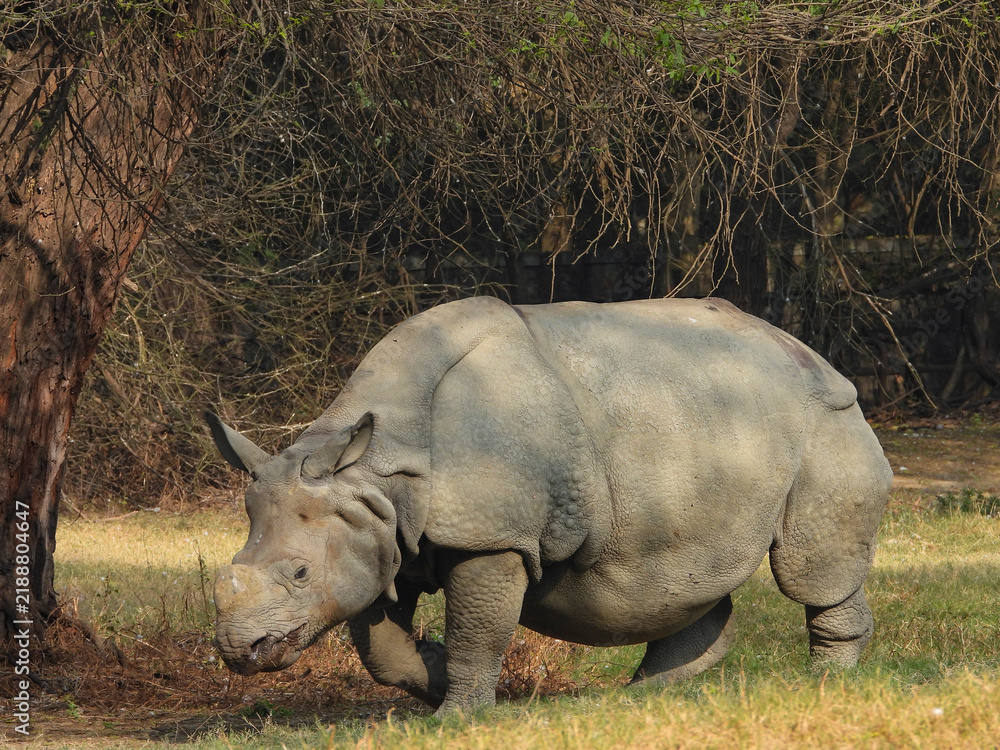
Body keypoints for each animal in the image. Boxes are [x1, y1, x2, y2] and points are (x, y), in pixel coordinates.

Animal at [208, 296, 892, 715]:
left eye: (299, 573)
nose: (240, 653)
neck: (375, 469)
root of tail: (810, 351)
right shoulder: (379, 533)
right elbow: (382, 650)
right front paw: (436, 675)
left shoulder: (491, 535)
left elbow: (478, 628)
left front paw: (459, 712)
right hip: (702, 426)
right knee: (683, 574)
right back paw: (645, 698)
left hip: (826, 419)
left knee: (808, 569)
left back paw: (826, 684)